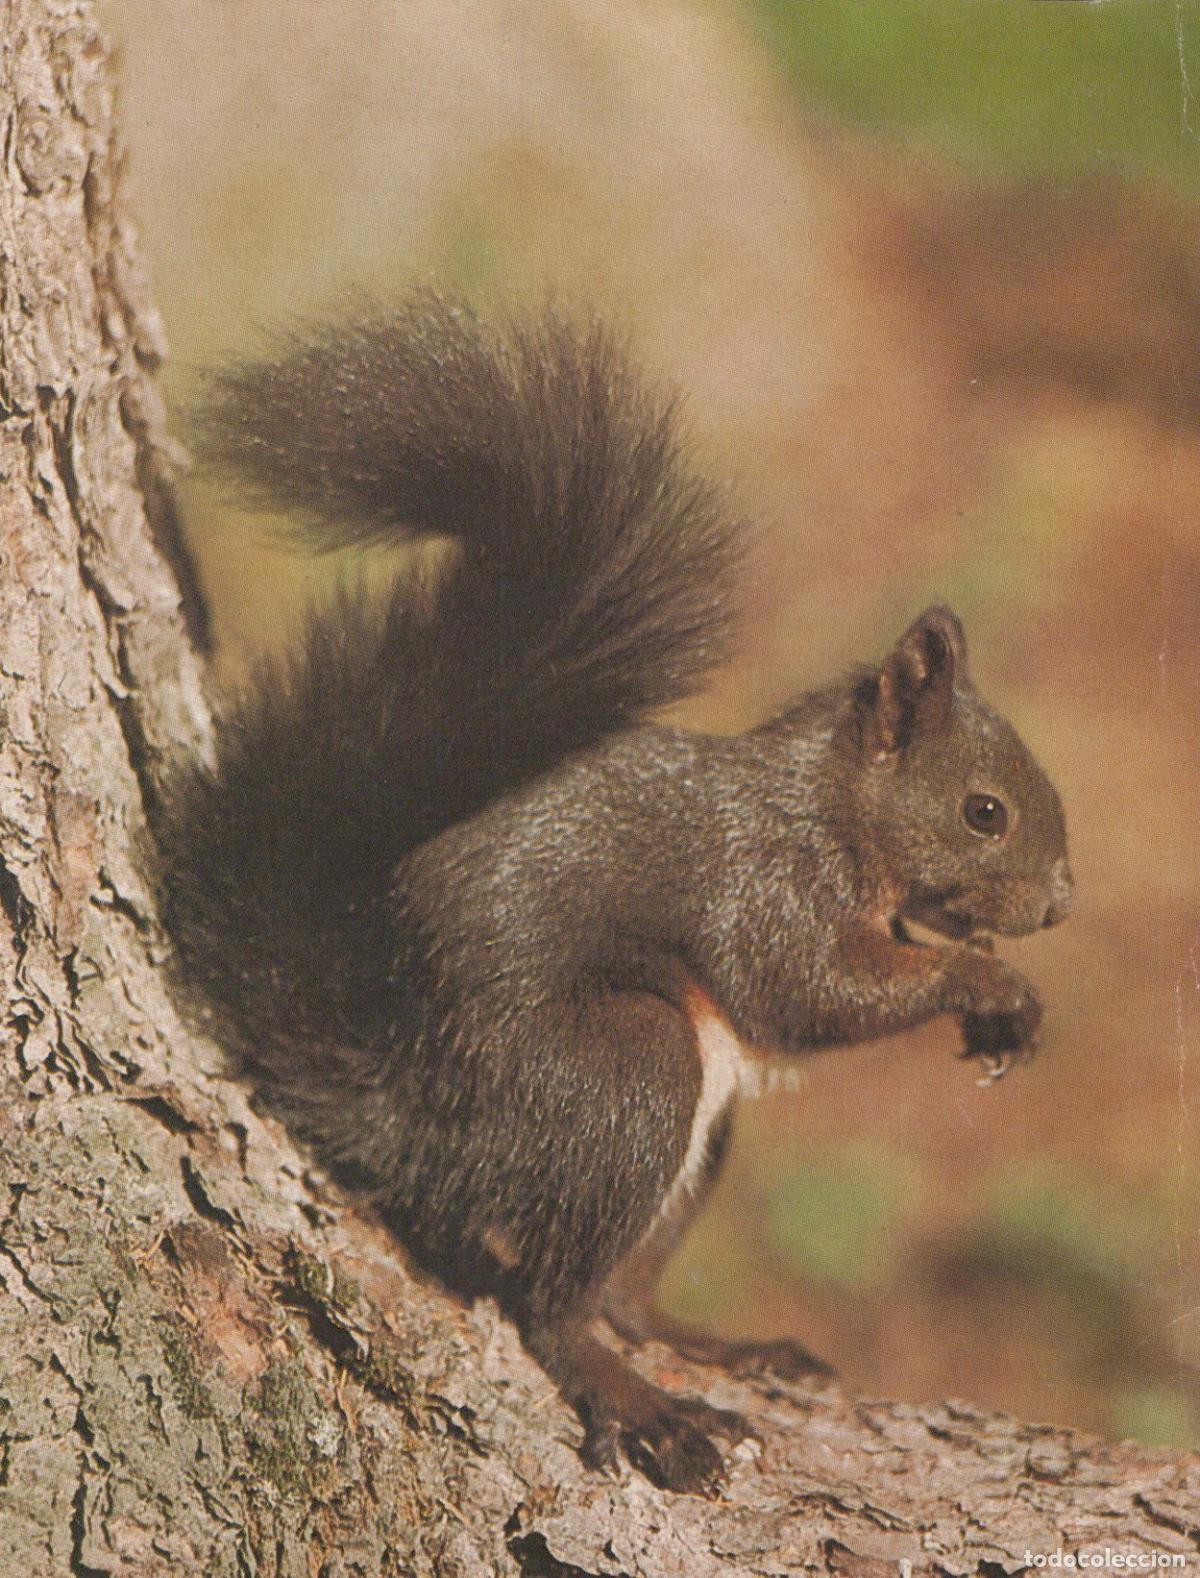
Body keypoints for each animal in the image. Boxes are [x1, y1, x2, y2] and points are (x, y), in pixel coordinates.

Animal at [155, 295, 1074, 1496]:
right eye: (984, 812)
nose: (1059, 905)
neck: (829, 805)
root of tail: (404, 1110)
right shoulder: (762, 884)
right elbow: (811, 993)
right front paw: (988, 982)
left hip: (690, 1128)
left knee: (625, 1295)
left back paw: (720, 1346)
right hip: (623, 1071)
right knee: (554, 1309)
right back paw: (643, 1405)